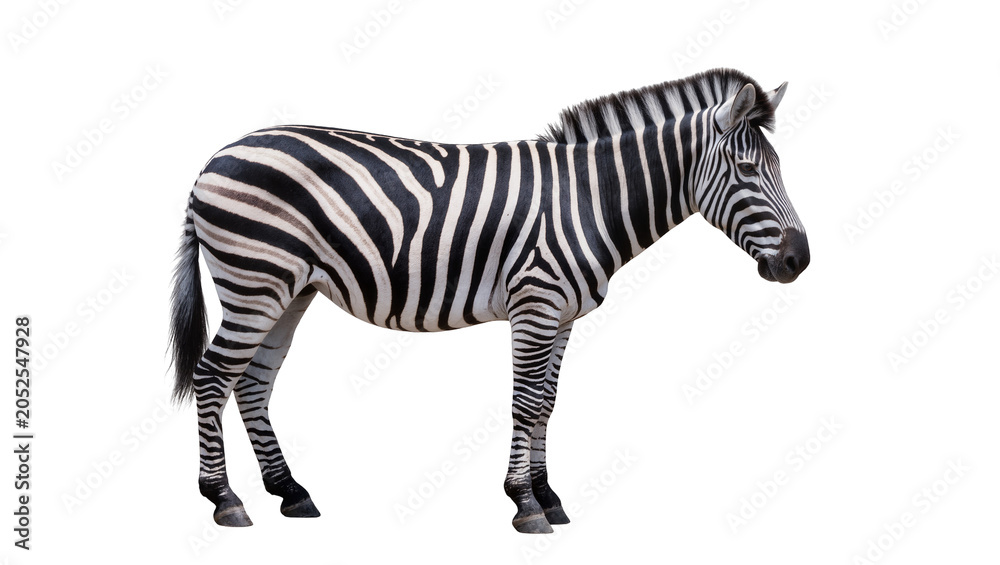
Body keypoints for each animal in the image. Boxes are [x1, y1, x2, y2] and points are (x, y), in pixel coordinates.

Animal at [168, 68, 809, 534]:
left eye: (780, 167)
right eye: (748, 170)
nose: (799, 261)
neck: (589, 198)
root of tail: (215, 156)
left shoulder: (564, 314)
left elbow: (547, 404)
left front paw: (549, 496)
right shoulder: (536, 303)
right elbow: (524, 404)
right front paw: (524, 504)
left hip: (288, 290)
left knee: (252, 382)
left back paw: (290, 492)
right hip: (255, 280)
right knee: (212, 376)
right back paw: (224, 499)